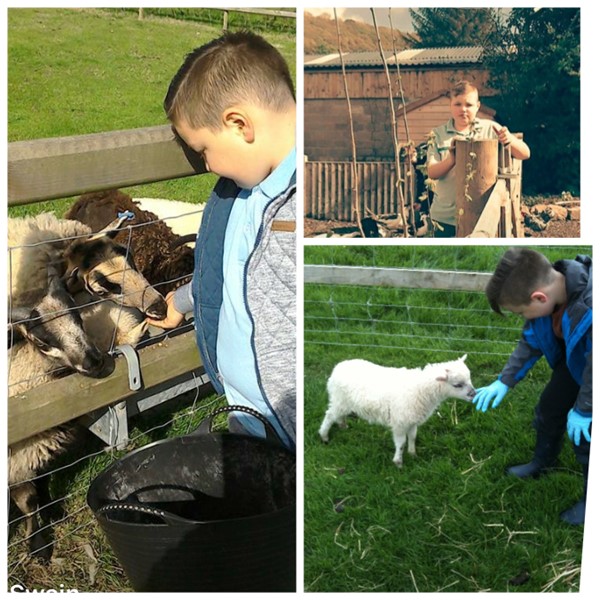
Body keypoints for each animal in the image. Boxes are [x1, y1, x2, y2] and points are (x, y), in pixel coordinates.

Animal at [316, 354, 476, 466]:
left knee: (337, 415)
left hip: (343, 402)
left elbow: (412, 437)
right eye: (457, 385)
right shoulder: (400, 422)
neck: (421, 390)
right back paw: (324, 436)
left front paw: (413, 454)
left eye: (469, 379)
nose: (474, 394)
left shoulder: (412, 420)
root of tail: (338, 367)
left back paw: (342, 425)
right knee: (329, 415)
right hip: (340, 400)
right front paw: (398, 462)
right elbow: (401, 443)